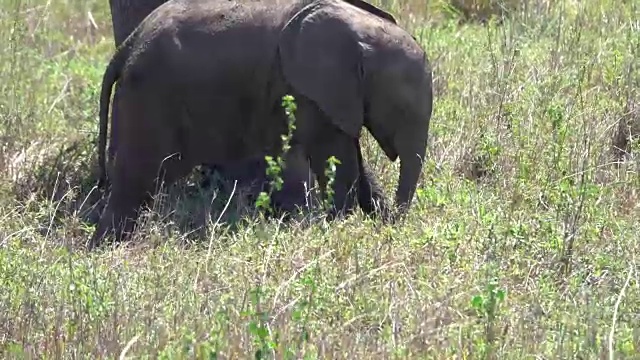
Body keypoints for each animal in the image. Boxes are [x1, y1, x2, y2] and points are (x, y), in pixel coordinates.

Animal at [87, 0, 432, 249]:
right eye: (402, 109)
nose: (393, 223)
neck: (360, 30)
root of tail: (128, 44)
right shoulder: (304, 90)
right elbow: (336, 156)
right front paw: (341, 224)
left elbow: (351, 156)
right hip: (148, 96)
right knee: (135, 179)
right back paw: (107, 251)